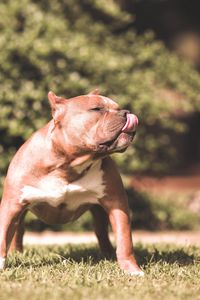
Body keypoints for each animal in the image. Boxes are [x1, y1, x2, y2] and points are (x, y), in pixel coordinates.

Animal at [0, 89, 144, 276]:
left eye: (118, 108)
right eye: (97, 109)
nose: (126, 112)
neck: (67, 164)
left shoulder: (117, 204)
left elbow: (125, 239)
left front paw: (132, 269)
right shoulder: (11, 205)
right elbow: (3, 236)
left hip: (99, 211)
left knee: (101, 233)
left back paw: (109, 254)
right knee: (18, 230)